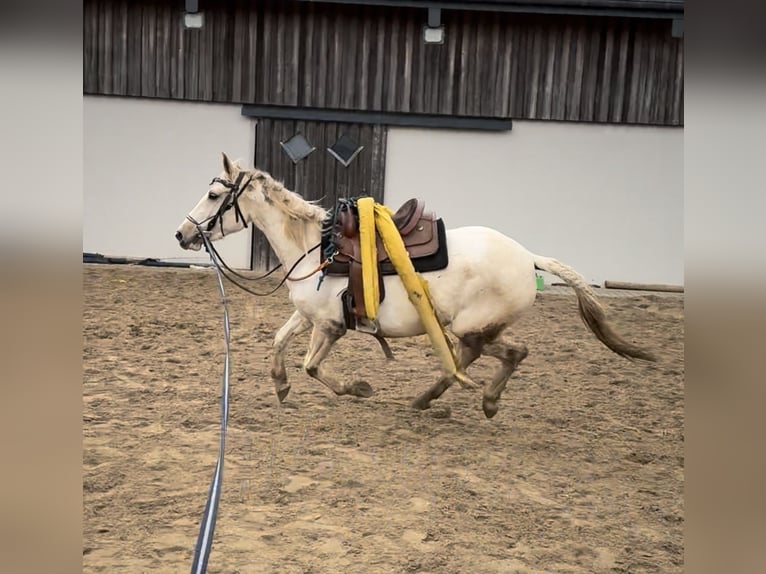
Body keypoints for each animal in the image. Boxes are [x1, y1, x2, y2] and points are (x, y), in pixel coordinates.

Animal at [177, 155, 656, 420]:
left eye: (216, 196)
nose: (182, 235)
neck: (316, 248)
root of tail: (528, 257)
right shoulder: (308, 315)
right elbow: (277, 342)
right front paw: (279, 385)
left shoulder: (330, 326)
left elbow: (312, 366)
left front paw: (358, 388)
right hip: (477, 328)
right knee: (498, 355)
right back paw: (460, 399)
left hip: (470, 326)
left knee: (482, 356)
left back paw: (448, 399)